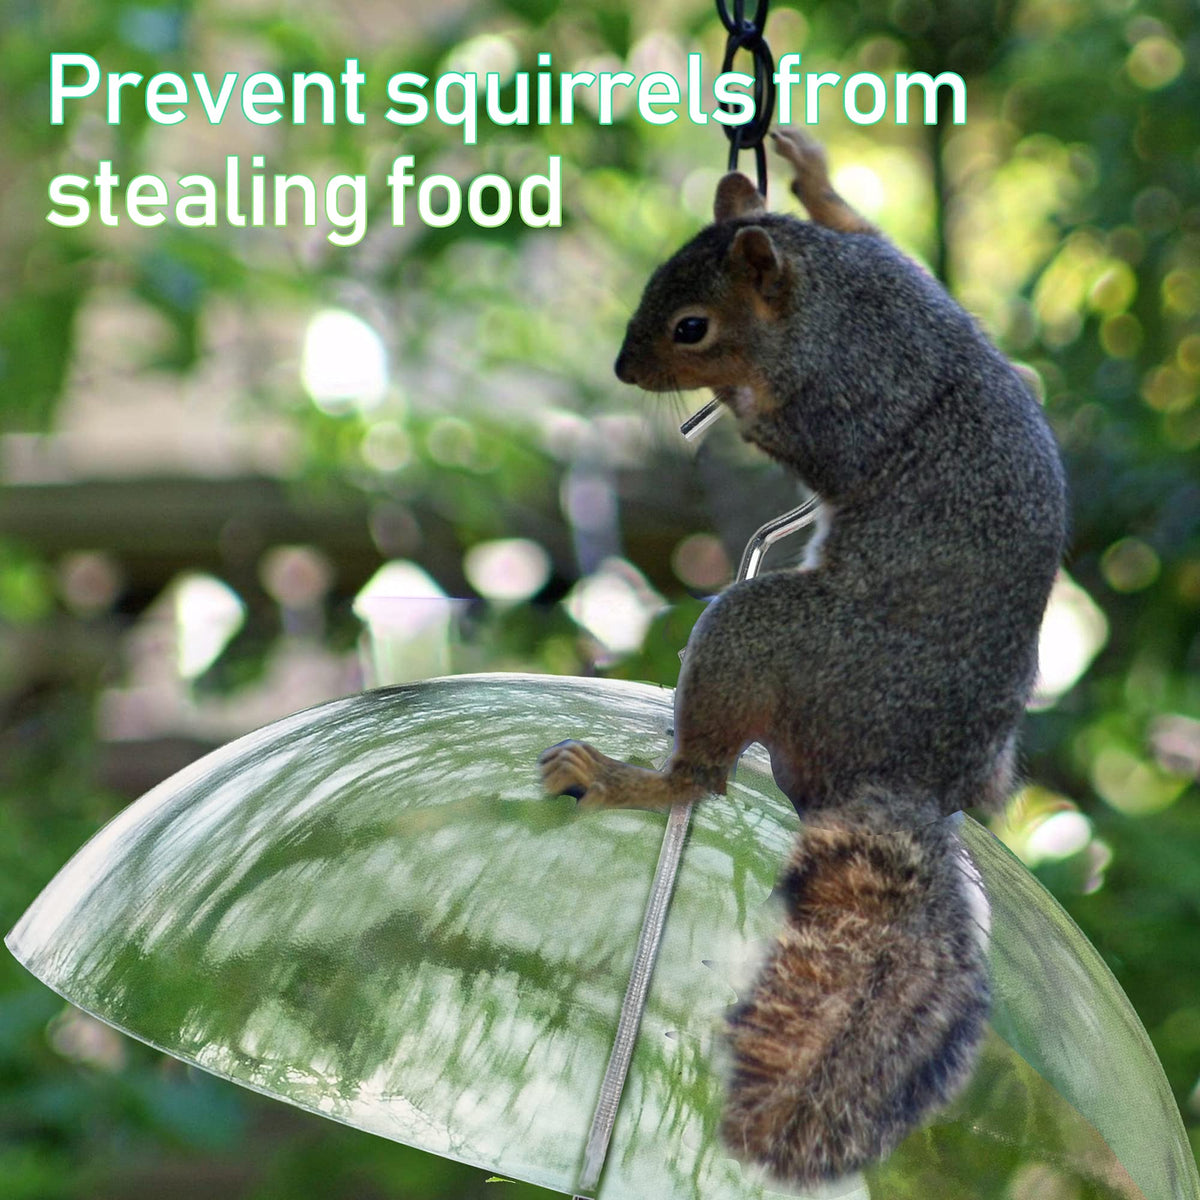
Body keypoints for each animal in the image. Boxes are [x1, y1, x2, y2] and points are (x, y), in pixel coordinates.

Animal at [539, 129, 1067, 1185]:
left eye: (691, 326)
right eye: (656, 280)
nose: (623, 368)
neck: (836, 302)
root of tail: (913, 780)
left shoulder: (850, 404)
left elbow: (794, 433)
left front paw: (733, 398)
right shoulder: (904, 274)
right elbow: (871, 225)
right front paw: (813, 175)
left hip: (769, 638)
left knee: (703, 778)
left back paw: (626, 778)